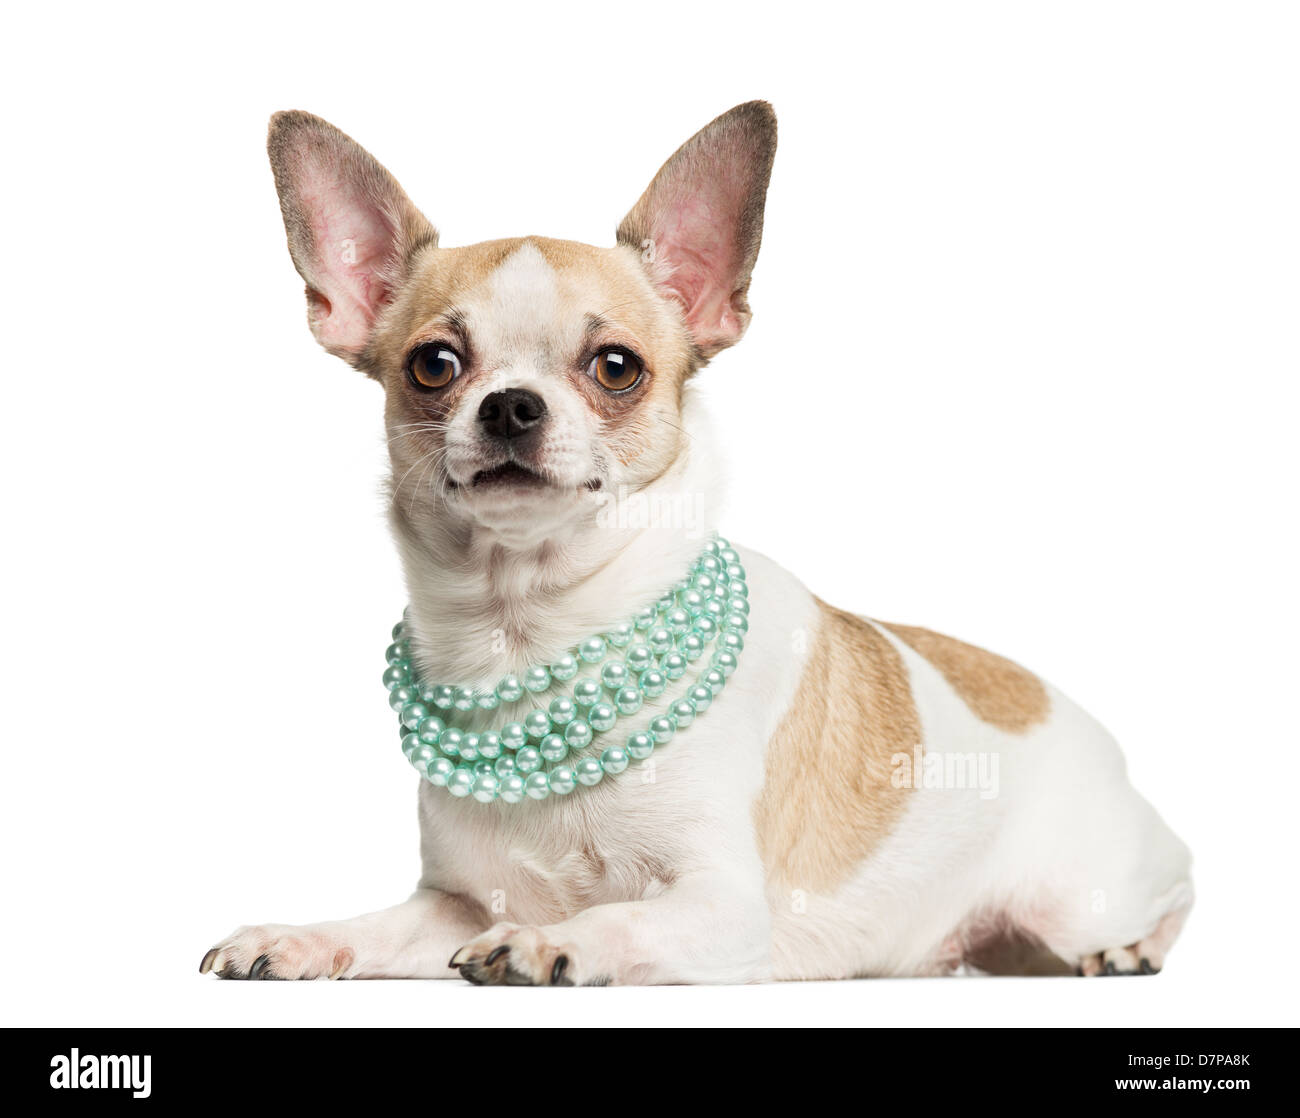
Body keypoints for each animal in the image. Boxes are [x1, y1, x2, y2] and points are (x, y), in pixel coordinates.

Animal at [200, 100, 1190, 982]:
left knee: (1177, 886)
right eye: (434, 365)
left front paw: (549, 942)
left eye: (616, 369)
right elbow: (376, 925)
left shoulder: (721, 904)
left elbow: (620, 918)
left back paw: (1129, 950)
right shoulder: (452, 904)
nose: (512, 404)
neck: (525, 632)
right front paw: (297, 937)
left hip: (1081, 896)